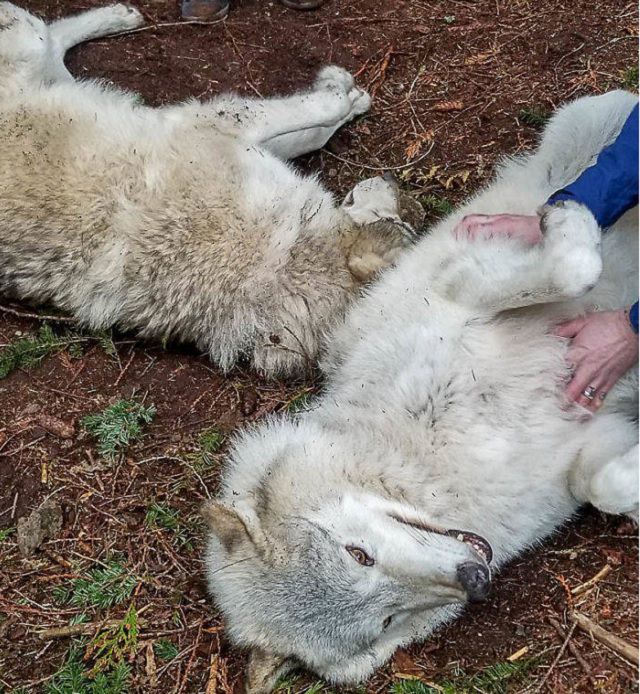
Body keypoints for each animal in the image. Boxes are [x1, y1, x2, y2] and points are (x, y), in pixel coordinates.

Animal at [0, 2, 416, 378]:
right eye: (401, 222)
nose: (394, 181)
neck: (281, 259)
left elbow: (315, 130)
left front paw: (349, 98)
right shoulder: (222, 123)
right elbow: (321, 114)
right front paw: (342, 89)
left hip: (45, 62)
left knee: (58, 41)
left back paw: (122, 16)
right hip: (31, 42)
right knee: (50, 30)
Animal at [205, 91, 640, 692]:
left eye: (359, 554)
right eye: (386, 620)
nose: (475, 577)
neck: (431, 468)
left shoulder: (465, 289)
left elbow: (571, 267)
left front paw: (568, 218)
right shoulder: (585, 444)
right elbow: (608, 487)